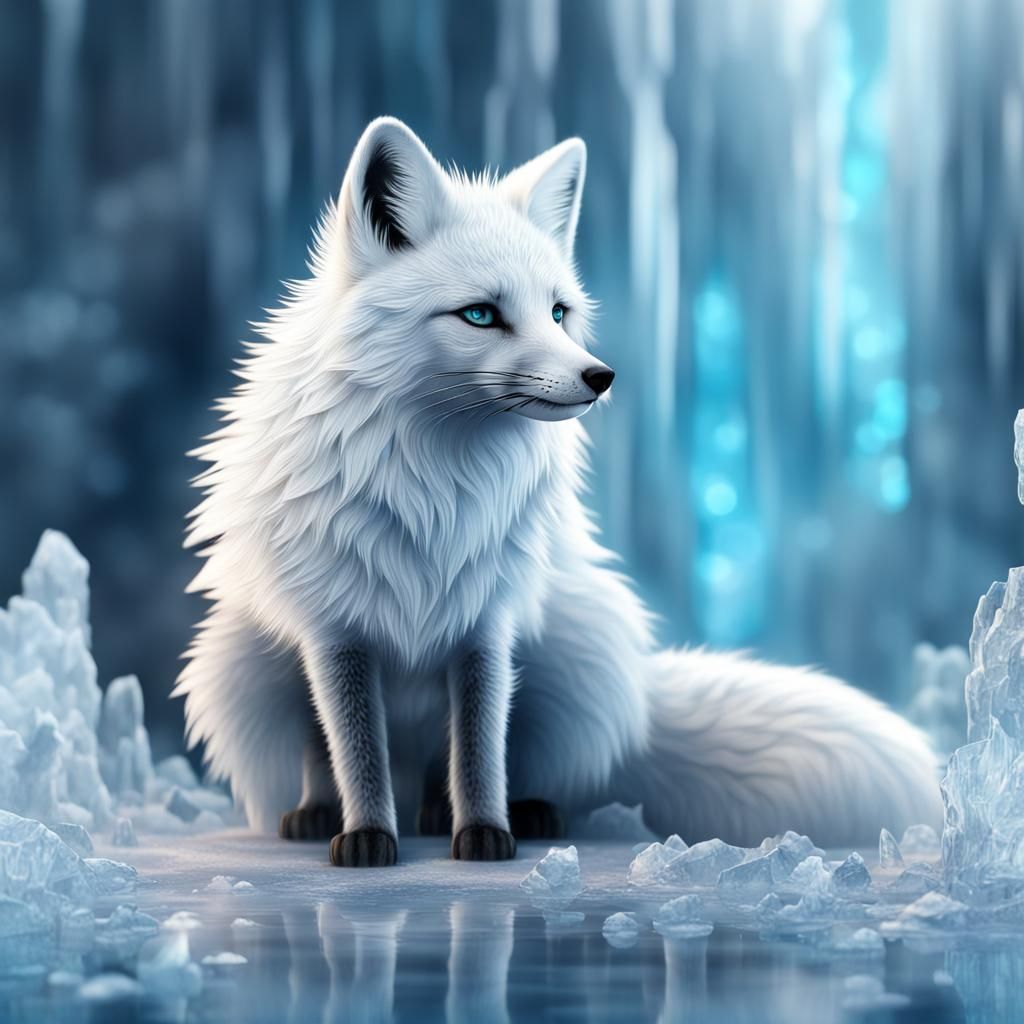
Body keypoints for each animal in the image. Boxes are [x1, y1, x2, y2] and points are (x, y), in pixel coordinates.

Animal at [175, 116, 943, 867]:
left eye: (558, 312)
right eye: (480, 315)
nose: (601, 376)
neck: (436, 489)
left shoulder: (487, 621)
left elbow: (481, 744)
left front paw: (484, 831)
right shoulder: (334, 631)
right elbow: (356, 748)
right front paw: (366, 835)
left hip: (578, 644)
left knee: (502, 761)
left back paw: (500, 812)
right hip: (243, 657)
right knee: (322, 750)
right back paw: (319, 814)